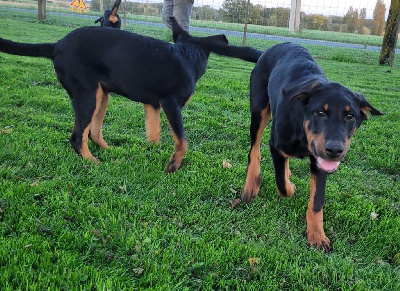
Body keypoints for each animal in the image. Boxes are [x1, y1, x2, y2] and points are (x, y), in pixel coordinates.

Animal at [0, 17, 260, 173]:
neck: (187, 54)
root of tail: (56, 45)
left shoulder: (152, 105)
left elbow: (154, 136)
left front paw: (152, 153)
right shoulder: (170, 103)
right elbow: (183, 140)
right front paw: (173, 165)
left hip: (101, 95)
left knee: (93, 132)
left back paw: (112, 152)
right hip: (87, 95)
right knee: (77, 136)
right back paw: (93, 162)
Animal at [241, 42, 382, 252]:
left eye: (350, 116)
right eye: (320, 112)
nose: (335, 150)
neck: (303, 131)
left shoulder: (320, 163)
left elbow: (316, 202)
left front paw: (317, 235)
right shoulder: (276, 146)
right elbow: (282, 185)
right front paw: (289, 186)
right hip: (259, 110)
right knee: (254, 151)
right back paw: (252, 184)